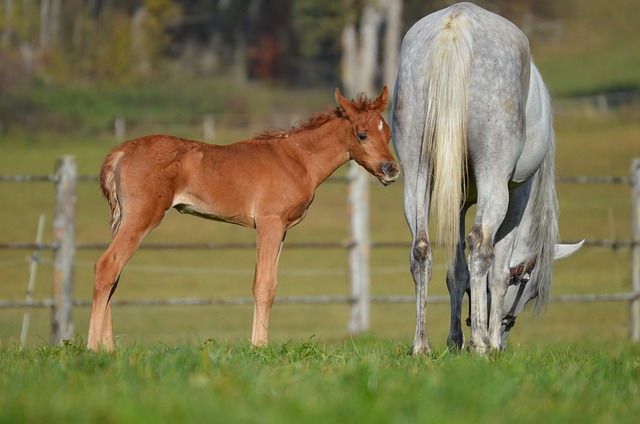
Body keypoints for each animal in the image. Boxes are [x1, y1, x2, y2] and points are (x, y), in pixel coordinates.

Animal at [87, 86, 399, 352]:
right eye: (362, 134)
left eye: (388, 134)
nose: (391, 169)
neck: (297, 159)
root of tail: (120, 153)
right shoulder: (269, 223)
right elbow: (262, 285)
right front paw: (259, 347)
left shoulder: (282, 229)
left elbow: (272, 284)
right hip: (143, 216)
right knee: (107, 266)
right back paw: (93, 348)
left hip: (124, 219)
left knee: (114, 273)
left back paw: (109, 349)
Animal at [391, 3, 582, 355]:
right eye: (527, 284)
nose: (505, 334)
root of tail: (456, 24)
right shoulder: (517, 194)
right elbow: (497, 270)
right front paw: (487, 340)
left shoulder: (457, 200)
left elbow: (457, 272)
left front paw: (455, 342)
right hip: (494, 178)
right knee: (480, 245)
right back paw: (480, 342)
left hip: (416, 175)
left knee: (421, 249)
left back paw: (422, 346)